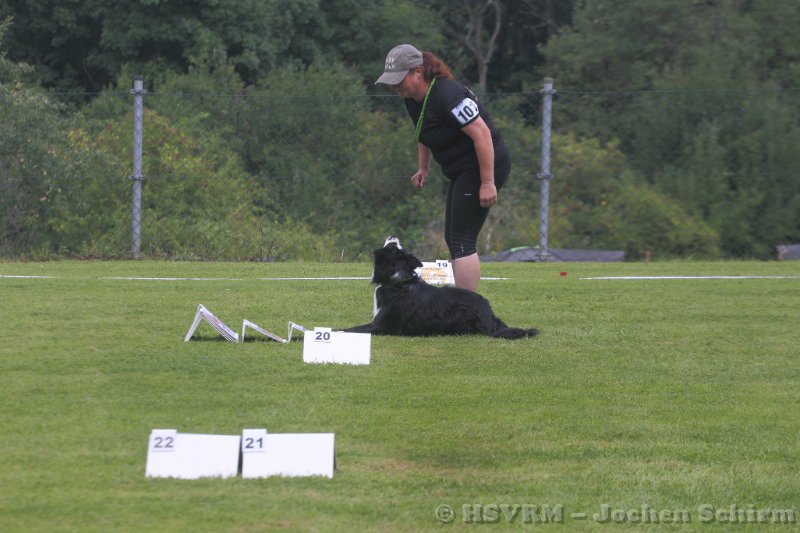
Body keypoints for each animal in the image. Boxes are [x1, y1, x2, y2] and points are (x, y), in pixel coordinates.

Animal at [345, 237, 539, 339]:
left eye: (394, 245)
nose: (394, 236)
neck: (398, 281)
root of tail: (490, 318)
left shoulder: (383, 327)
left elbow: (352, 330)